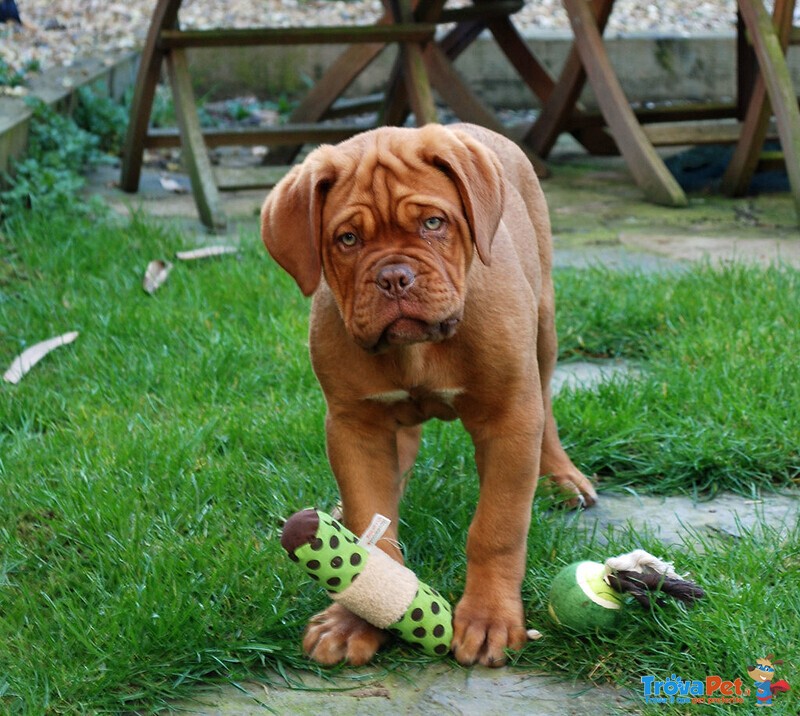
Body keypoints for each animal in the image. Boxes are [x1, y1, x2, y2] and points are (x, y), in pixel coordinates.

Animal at [260, 121, 596, 664]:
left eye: (434, 223)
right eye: (347, 239)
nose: (394, 277)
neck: (419, 350)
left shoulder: (509, 417)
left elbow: (497, 527)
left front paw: (489, 618)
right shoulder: (356, 425)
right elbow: (371, 531)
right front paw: (357, 617)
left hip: (544, 329)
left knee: (546, 404)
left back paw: (562, 479)